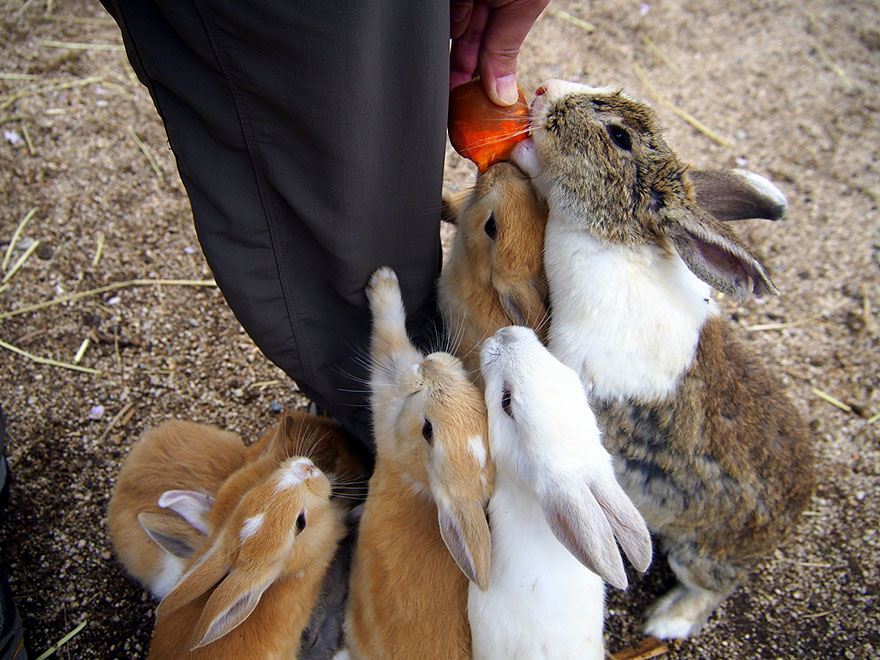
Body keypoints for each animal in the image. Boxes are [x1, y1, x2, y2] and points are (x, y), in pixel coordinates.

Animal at [340, 266, 493, 660]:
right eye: (480, 398)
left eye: (428, 430)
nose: (429, 365)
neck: (418, 474)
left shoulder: (386, 391)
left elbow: (388, 335)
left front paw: (382, 281)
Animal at [511, 79, 815, 639]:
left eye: (618, 137)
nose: (543, 89)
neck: (613, 241)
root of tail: (795, 515)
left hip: (696, 554)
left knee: (711, 588)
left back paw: (664, 622)